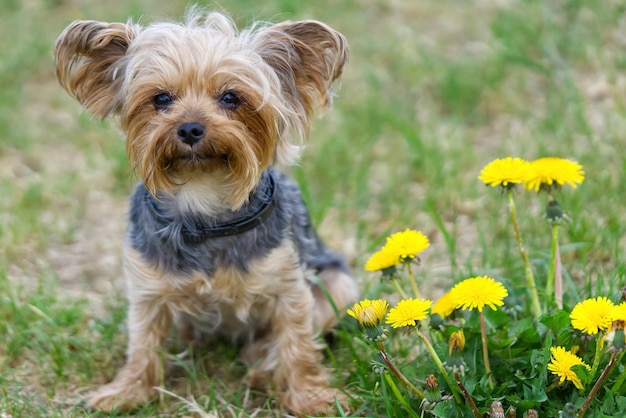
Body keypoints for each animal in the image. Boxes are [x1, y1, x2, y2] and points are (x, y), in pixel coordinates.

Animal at [54, 7, 356, 414]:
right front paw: (126, 391)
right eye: (161, 98)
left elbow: (298, 344)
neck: (203, 201)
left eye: (231, 97)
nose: (190, 128)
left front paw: (311, 396)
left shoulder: (289, 285)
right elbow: (142, 343)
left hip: (338, 282)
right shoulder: (147, 286)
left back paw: (261, 366)